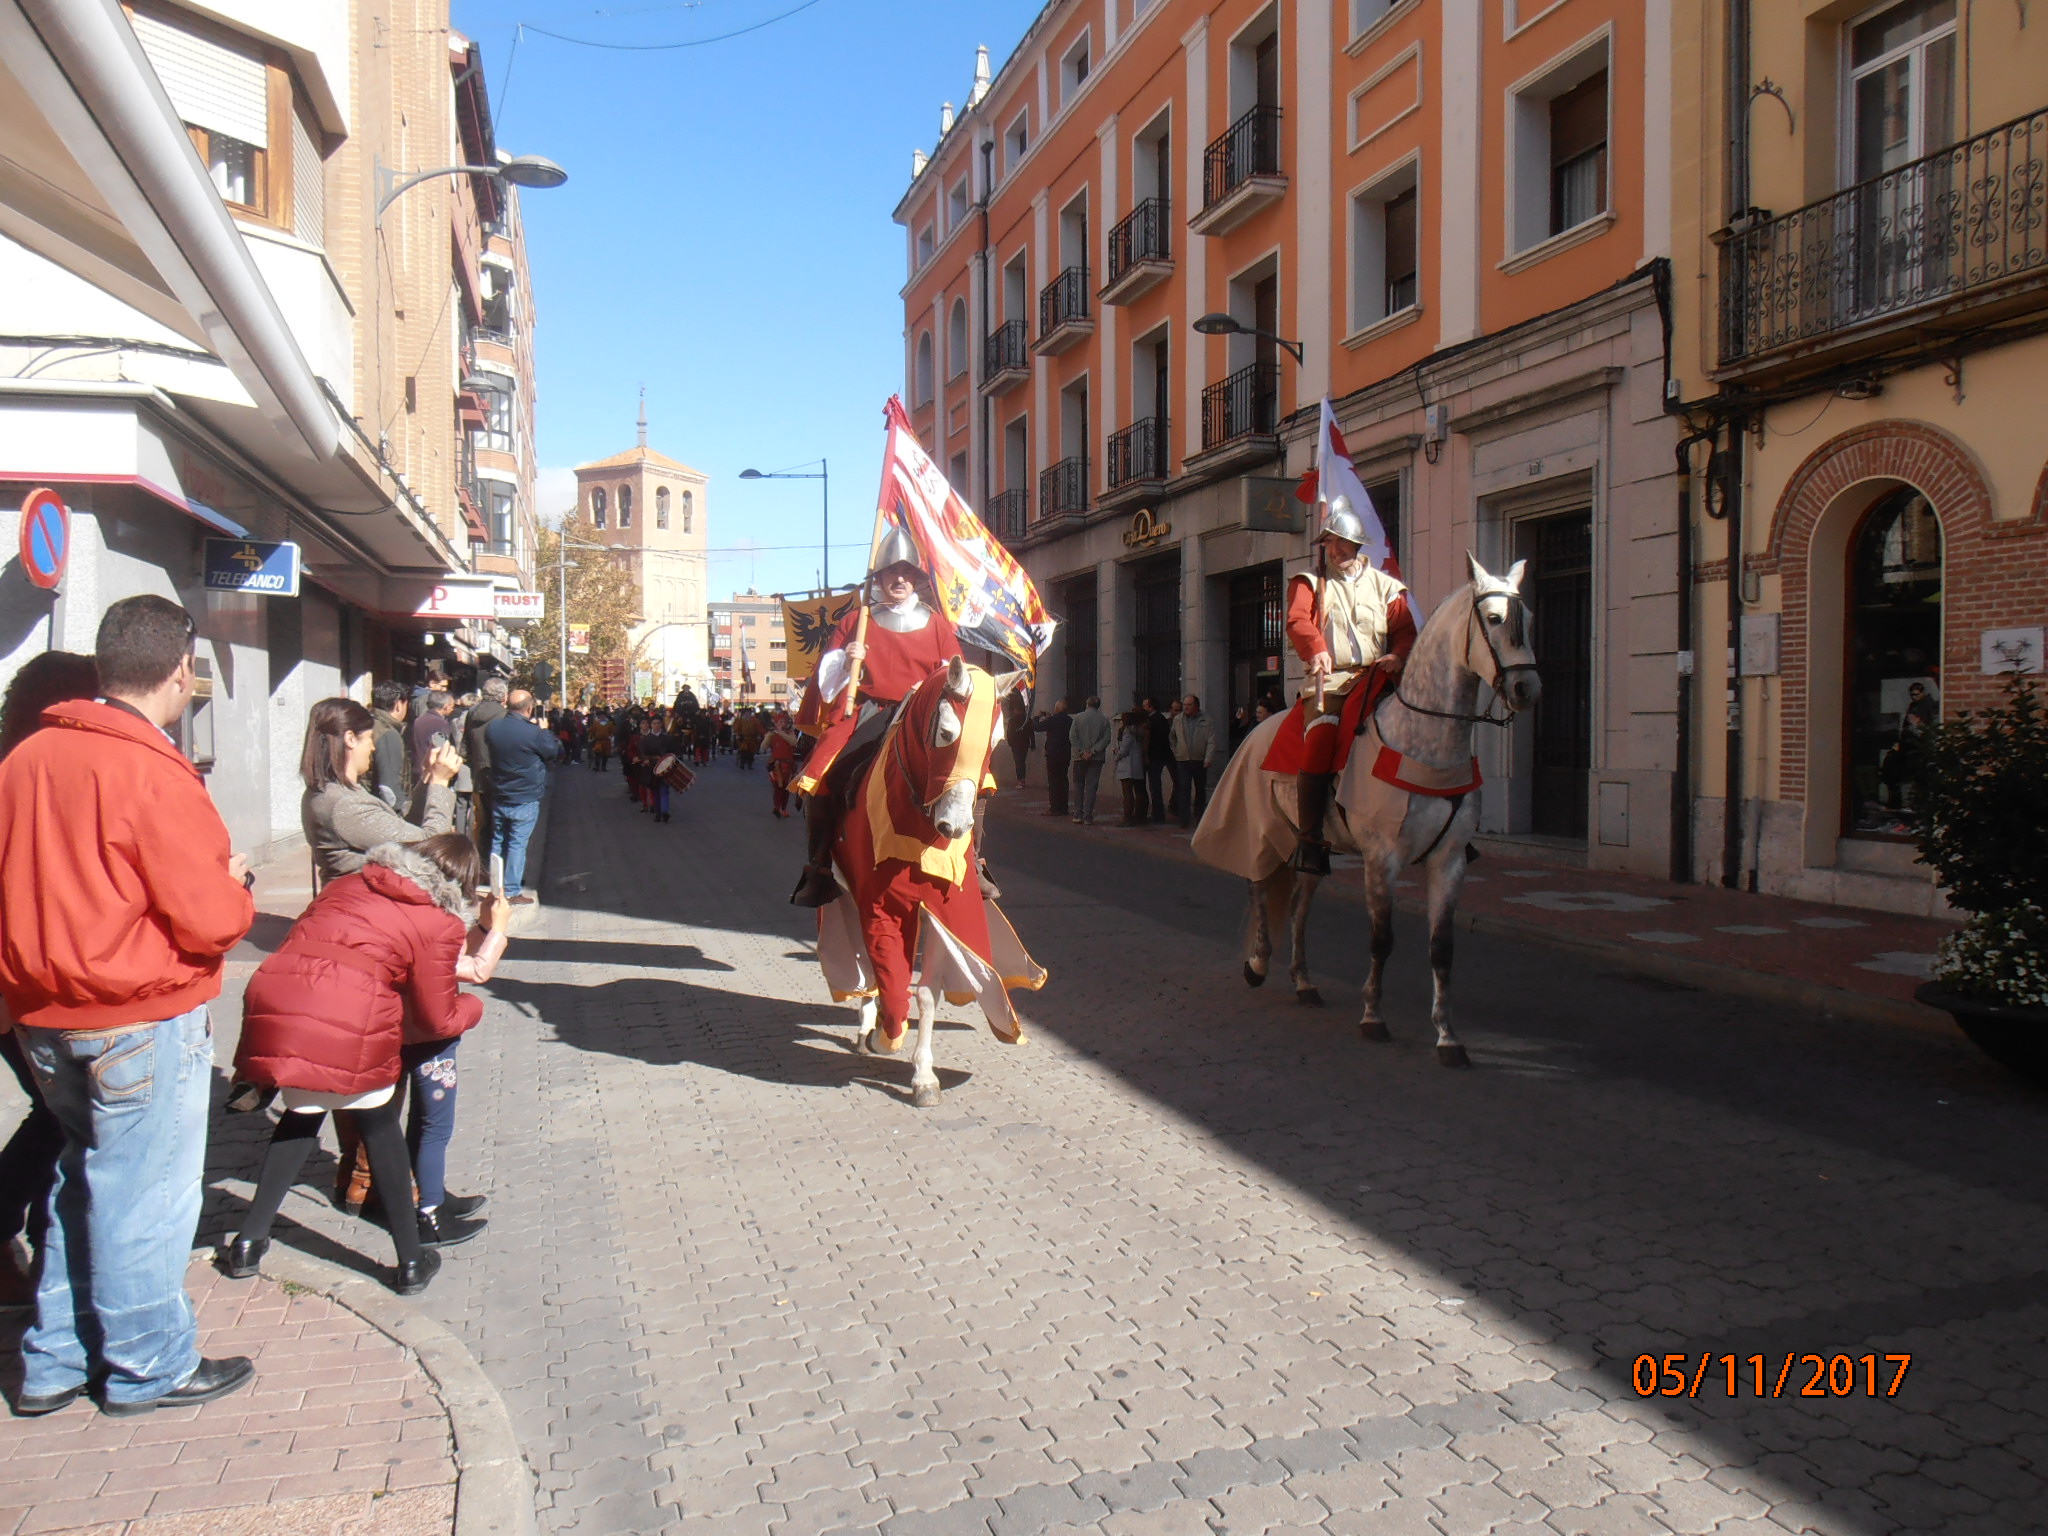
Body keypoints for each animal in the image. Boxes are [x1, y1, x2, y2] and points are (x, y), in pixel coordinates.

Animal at [1196, 557, 1540, 1073]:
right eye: (1495, 619)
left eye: (1530, 620)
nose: (1526, 688)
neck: (1424, 740)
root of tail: (1257, 728)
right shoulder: (1382, 859)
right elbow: (1382, 939)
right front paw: (1373, 1017)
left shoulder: (1449, 861)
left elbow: (1442, 949)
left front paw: (1448, 1037)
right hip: (1264, 831)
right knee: (1259, 890)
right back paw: (1258, 966)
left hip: (1310, 847)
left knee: (1298, 908)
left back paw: (1304, 982)